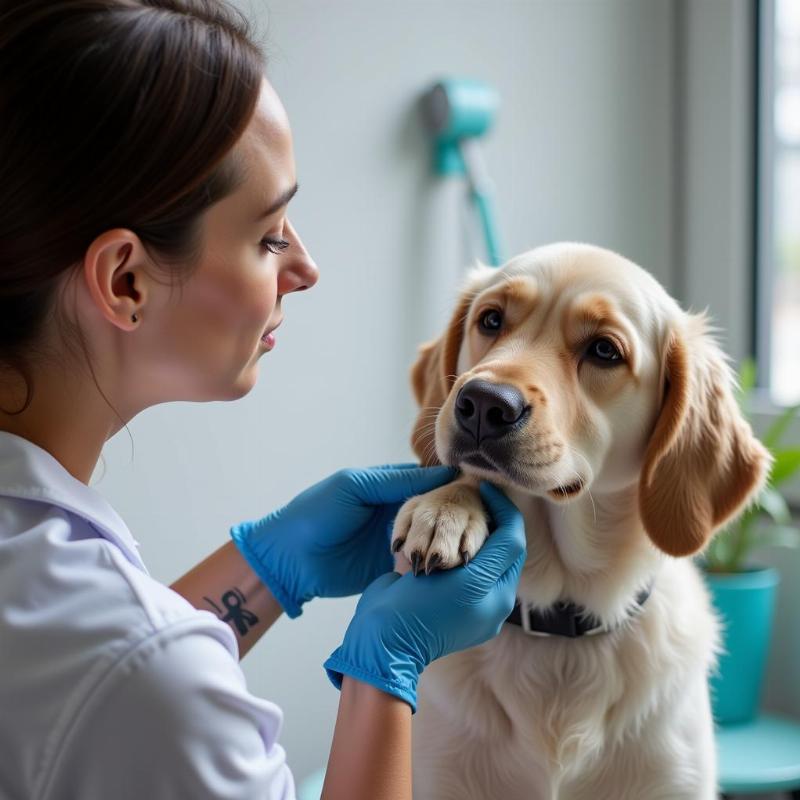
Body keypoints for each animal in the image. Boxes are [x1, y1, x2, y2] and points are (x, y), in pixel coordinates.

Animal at [390, 244, 772, 800]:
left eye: (604, 351)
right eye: (491, 320)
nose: (482, 403)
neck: (562, 632)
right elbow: (468, 480)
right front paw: (444, 509)